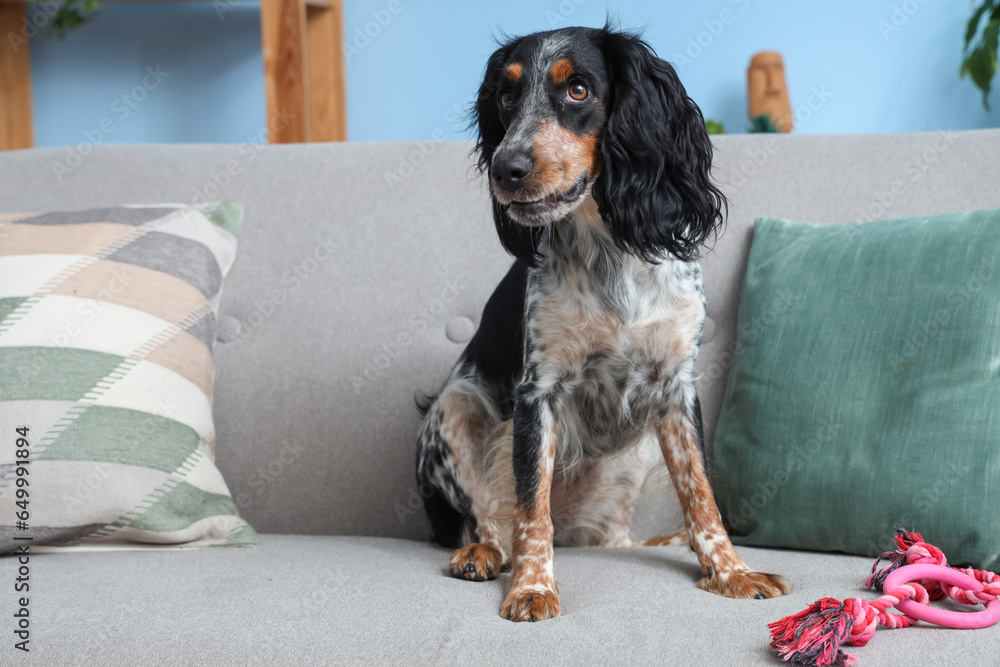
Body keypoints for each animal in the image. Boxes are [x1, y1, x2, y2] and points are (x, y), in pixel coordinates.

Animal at [414, 26, 788, 620]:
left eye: (579, 89)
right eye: (506, 96)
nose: (504, 168)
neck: (609, 254)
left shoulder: (677, 387)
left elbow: (701, 495)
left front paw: (731, 571)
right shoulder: (537, 391)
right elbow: (530, 508)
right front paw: (532, 586)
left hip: (632, 459)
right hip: (454, 406)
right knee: (489, 518)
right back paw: (481, 552)